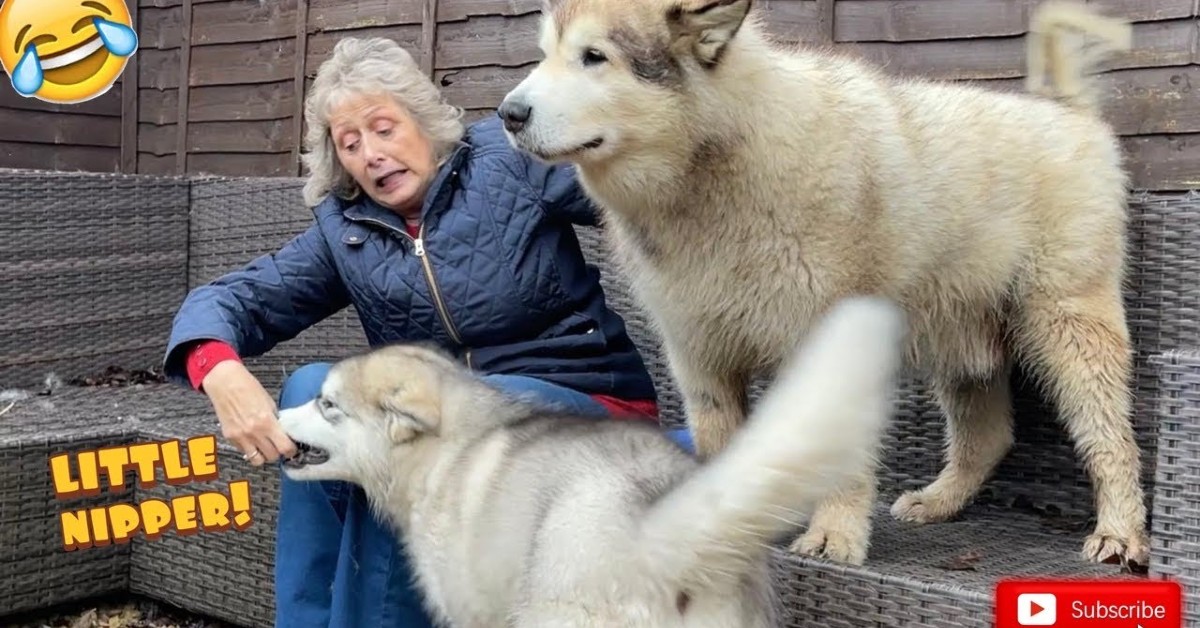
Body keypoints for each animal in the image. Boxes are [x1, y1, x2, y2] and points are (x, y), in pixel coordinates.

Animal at [494, 0, 1142, 566]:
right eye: (546, 54)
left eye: (594, 57)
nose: (508, 114)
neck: (718, 161)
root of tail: (1065, 111)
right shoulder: (701, 359)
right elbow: (719, 446)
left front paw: (834, 536)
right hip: (959, 333)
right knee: (988, 436)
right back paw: (937, 502)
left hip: (1067, 326)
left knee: (1111, 437)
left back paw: (1120, 534)